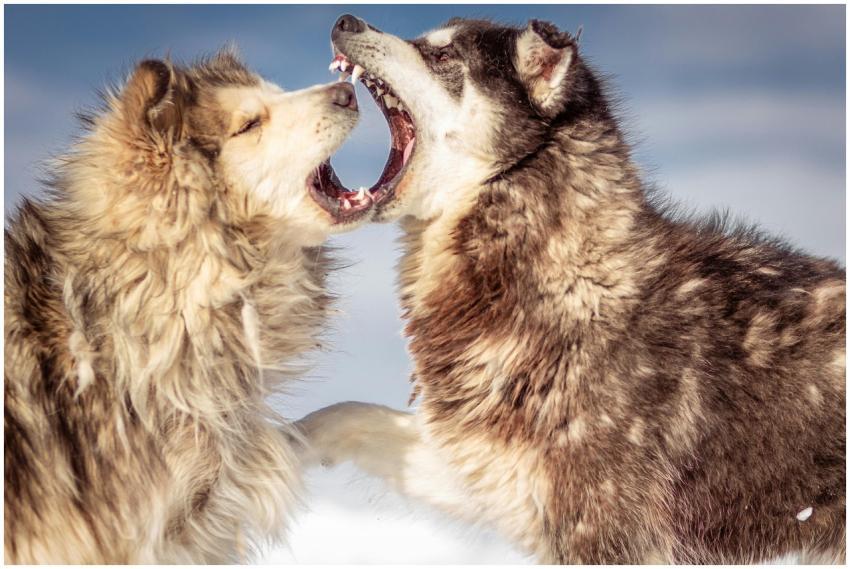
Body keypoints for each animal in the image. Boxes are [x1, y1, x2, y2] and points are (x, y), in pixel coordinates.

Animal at [298, 15, 846, 564]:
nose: (345, 20)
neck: (571, 282)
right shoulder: (499, 475)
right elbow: (344, 415)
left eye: (442, 55)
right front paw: (287, 447)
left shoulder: (605, 531)